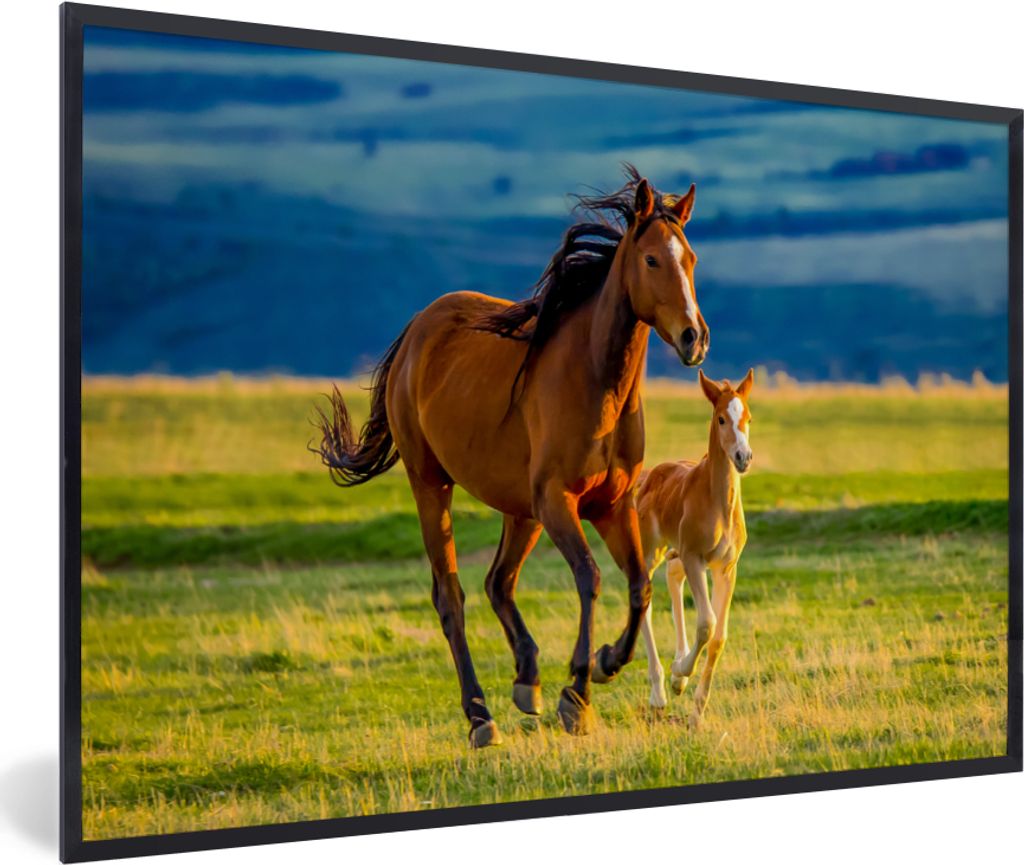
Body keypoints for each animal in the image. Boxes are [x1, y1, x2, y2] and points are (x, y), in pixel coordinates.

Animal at [311, 166, 709, 747]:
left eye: (692, 259)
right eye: (652, 259)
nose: (694, 338)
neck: (595, 383)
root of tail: (416, 332)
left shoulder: (611, 506)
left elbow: (639, 586)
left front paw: (606, 661)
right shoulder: (559, 503)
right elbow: (590, 578)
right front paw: (578, 694)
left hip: (520, 511)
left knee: (498, 582)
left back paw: (527, 680)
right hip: (434, 487)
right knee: (451, 597)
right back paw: (480, 715)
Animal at [635, 369, 753, 728]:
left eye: (748, 418)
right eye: (721, 419)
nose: (743, 458)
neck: (719, 503)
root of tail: (650, 475)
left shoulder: (726, 568)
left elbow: (719, 636)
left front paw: (697, 713)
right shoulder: (695, 558)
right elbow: (707, 623)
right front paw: (679, 676)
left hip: (676, 554)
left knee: (673, 577)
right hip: (652, 551)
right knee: (644, 599)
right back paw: (660, 692)